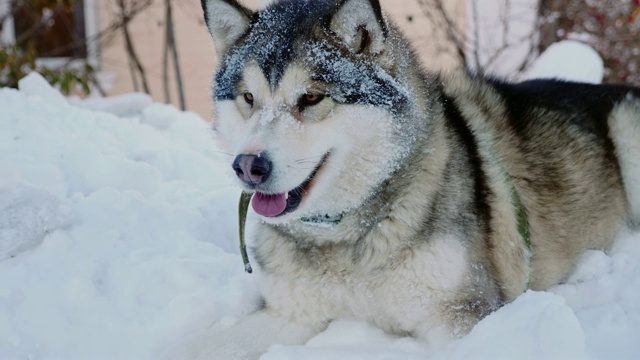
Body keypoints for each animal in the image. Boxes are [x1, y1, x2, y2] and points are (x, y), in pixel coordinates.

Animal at [186, 0, 640, 358]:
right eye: (248, 98)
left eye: (311, 98)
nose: (248, 166)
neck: (345, 232)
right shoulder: (292, 313)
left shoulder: (462, 314)